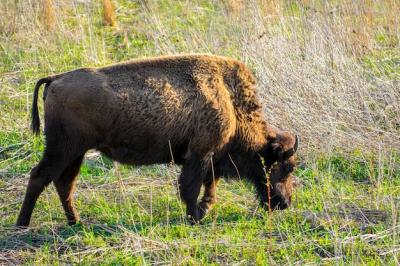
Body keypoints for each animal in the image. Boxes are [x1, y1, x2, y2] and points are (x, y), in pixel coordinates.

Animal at [15, 54, 298, 227]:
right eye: (286, 166)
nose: (284, 204)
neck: (229, 98)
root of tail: (55, 79)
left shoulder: (210, 156)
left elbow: (209, 184)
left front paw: (203, 210)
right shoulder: (200, 155)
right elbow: (191, 187)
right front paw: (195, 216)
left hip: (76, 154)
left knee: (64, 184)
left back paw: (76, 222)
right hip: (62, 149)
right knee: (40, 177)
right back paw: (22, 225)